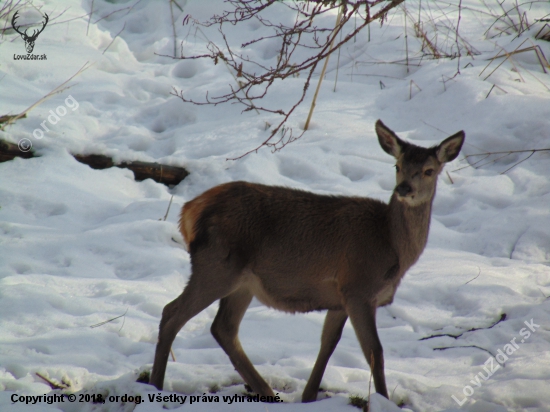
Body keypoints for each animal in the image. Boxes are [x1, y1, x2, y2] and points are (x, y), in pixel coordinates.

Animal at [150, 120, 466, 402]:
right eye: (397, 166)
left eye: (429, 170)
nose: (404, 189)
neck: (392, 247)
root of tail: (189, 212)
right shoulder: (359, 289)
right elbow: (375, 352)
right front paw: (383, 400)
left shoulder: (339, 299)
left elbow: (328, 344)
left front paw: (309, 395)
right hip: (216, 265)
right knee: (171, 313)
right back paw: (155, 386)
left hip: (242, 283)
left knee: (223, 327)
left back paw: (266, 392)